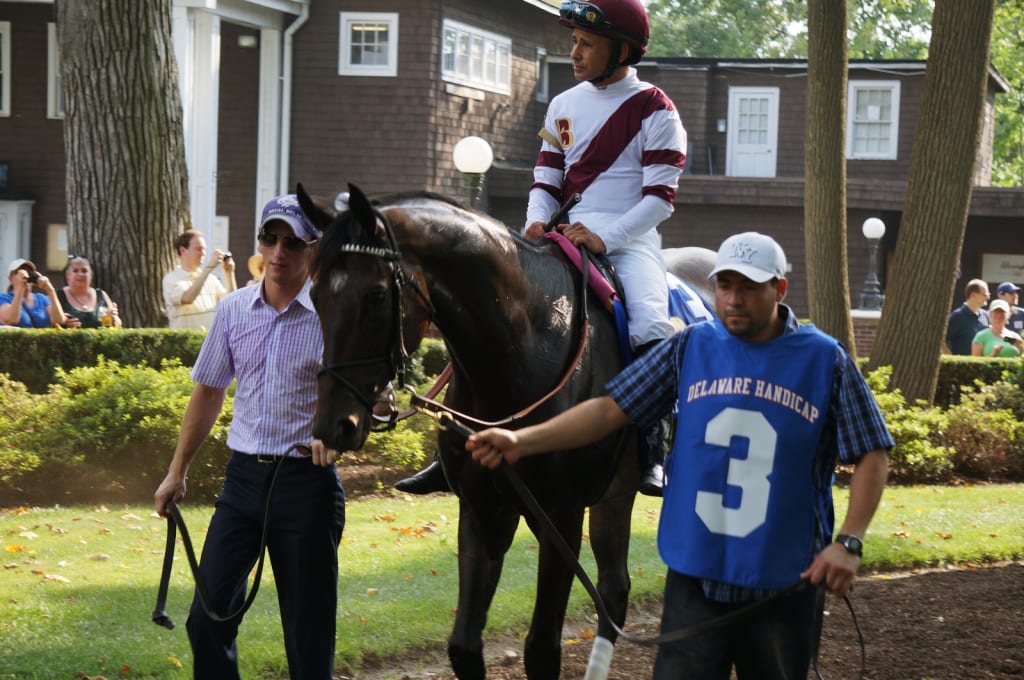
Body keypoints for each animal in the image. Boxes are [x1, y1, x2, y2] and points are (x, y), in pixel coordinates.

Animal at [296, 183, 712, 675]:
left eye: (378, 295)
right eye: (315, 294)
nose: (333, 425)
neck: (527, 346)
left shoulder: (561, 515)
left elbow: (542, 649)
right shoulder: (483, 509)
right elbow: (463, 646)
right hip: (614, 495)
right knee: (615, 588)